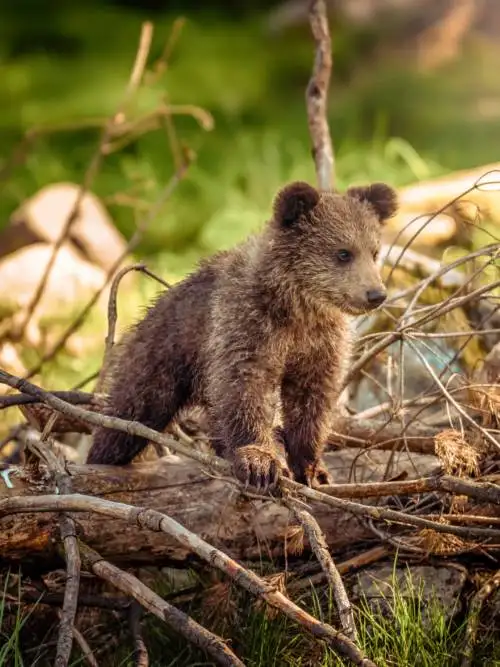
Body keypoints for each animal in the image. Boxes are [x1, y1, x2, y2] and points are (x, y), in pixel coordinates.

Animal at [86, 180, 397, 491]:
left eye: (374, 252)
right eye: (343, 253)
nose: (376, 294)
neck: (298, 307)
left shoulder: (319, 343)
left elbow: (311, 400)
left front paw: (313, 469)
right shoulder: (247, 326)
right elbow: (245, 388)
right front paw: (259, 462)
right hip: (160, 357)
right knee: (128, 415)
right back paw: (101, 458)